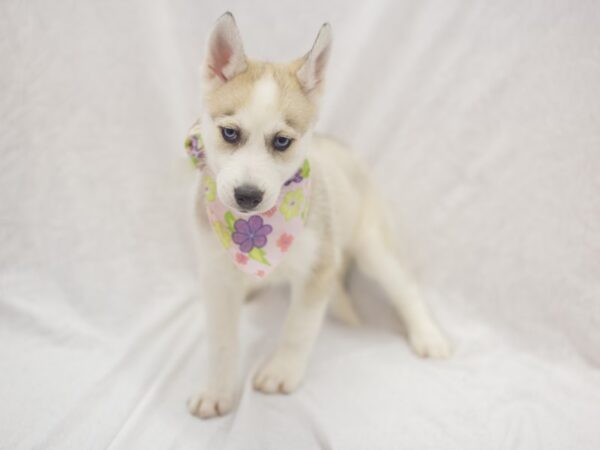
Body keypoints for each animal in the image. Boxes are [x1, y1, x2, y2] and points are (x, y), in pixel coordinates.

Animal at [188, 13, 450, 418]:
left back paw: (428, 335)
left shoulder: (319, 268)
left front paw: (282, 371)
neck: (259, 234)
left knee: (406, 288)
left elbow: (298, 330)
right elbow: (221, 343)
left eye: (282, 141)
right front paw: (217, 391)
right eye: (230, 133)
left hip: (372, 247)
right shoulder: (216, 278)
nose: (247, 196)